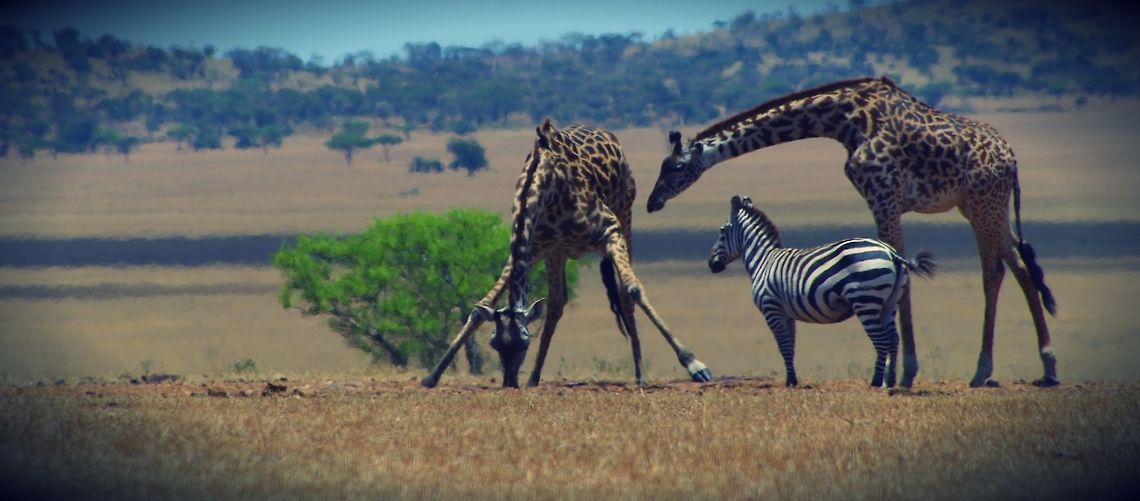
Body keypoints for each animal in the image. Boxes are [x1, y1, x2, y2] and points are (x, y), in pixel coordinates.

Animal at [421, 118, 712, 388]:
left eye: (525, 342)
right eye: (495, 343)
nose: (510, 382)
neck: (544, 184)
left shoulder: (610, 230)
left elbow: (633, 289)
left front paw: (695, 365)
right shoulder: (534, 249)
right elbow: (481, 307)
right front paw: (432, 376)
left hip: (625, 214)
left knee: (622, 294)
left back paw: (640, 375)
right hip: (557, 252)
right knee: (556, 302)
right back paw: (534, 378)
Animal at [708, 195, 936, 388]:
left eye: (722, 231)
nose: (711, 264)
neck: (764, 260)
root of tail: (890, 252)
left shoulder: (771, 309)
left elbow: (783, 345)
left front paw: (790, 381)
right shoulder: (786, 313)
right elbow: (790, 346)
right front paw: (792, 380)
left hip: (865, 301)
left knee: (881, 340)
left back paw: (875, 382)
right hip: (889, 303)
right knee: (893, 338)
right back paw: (890, 382)